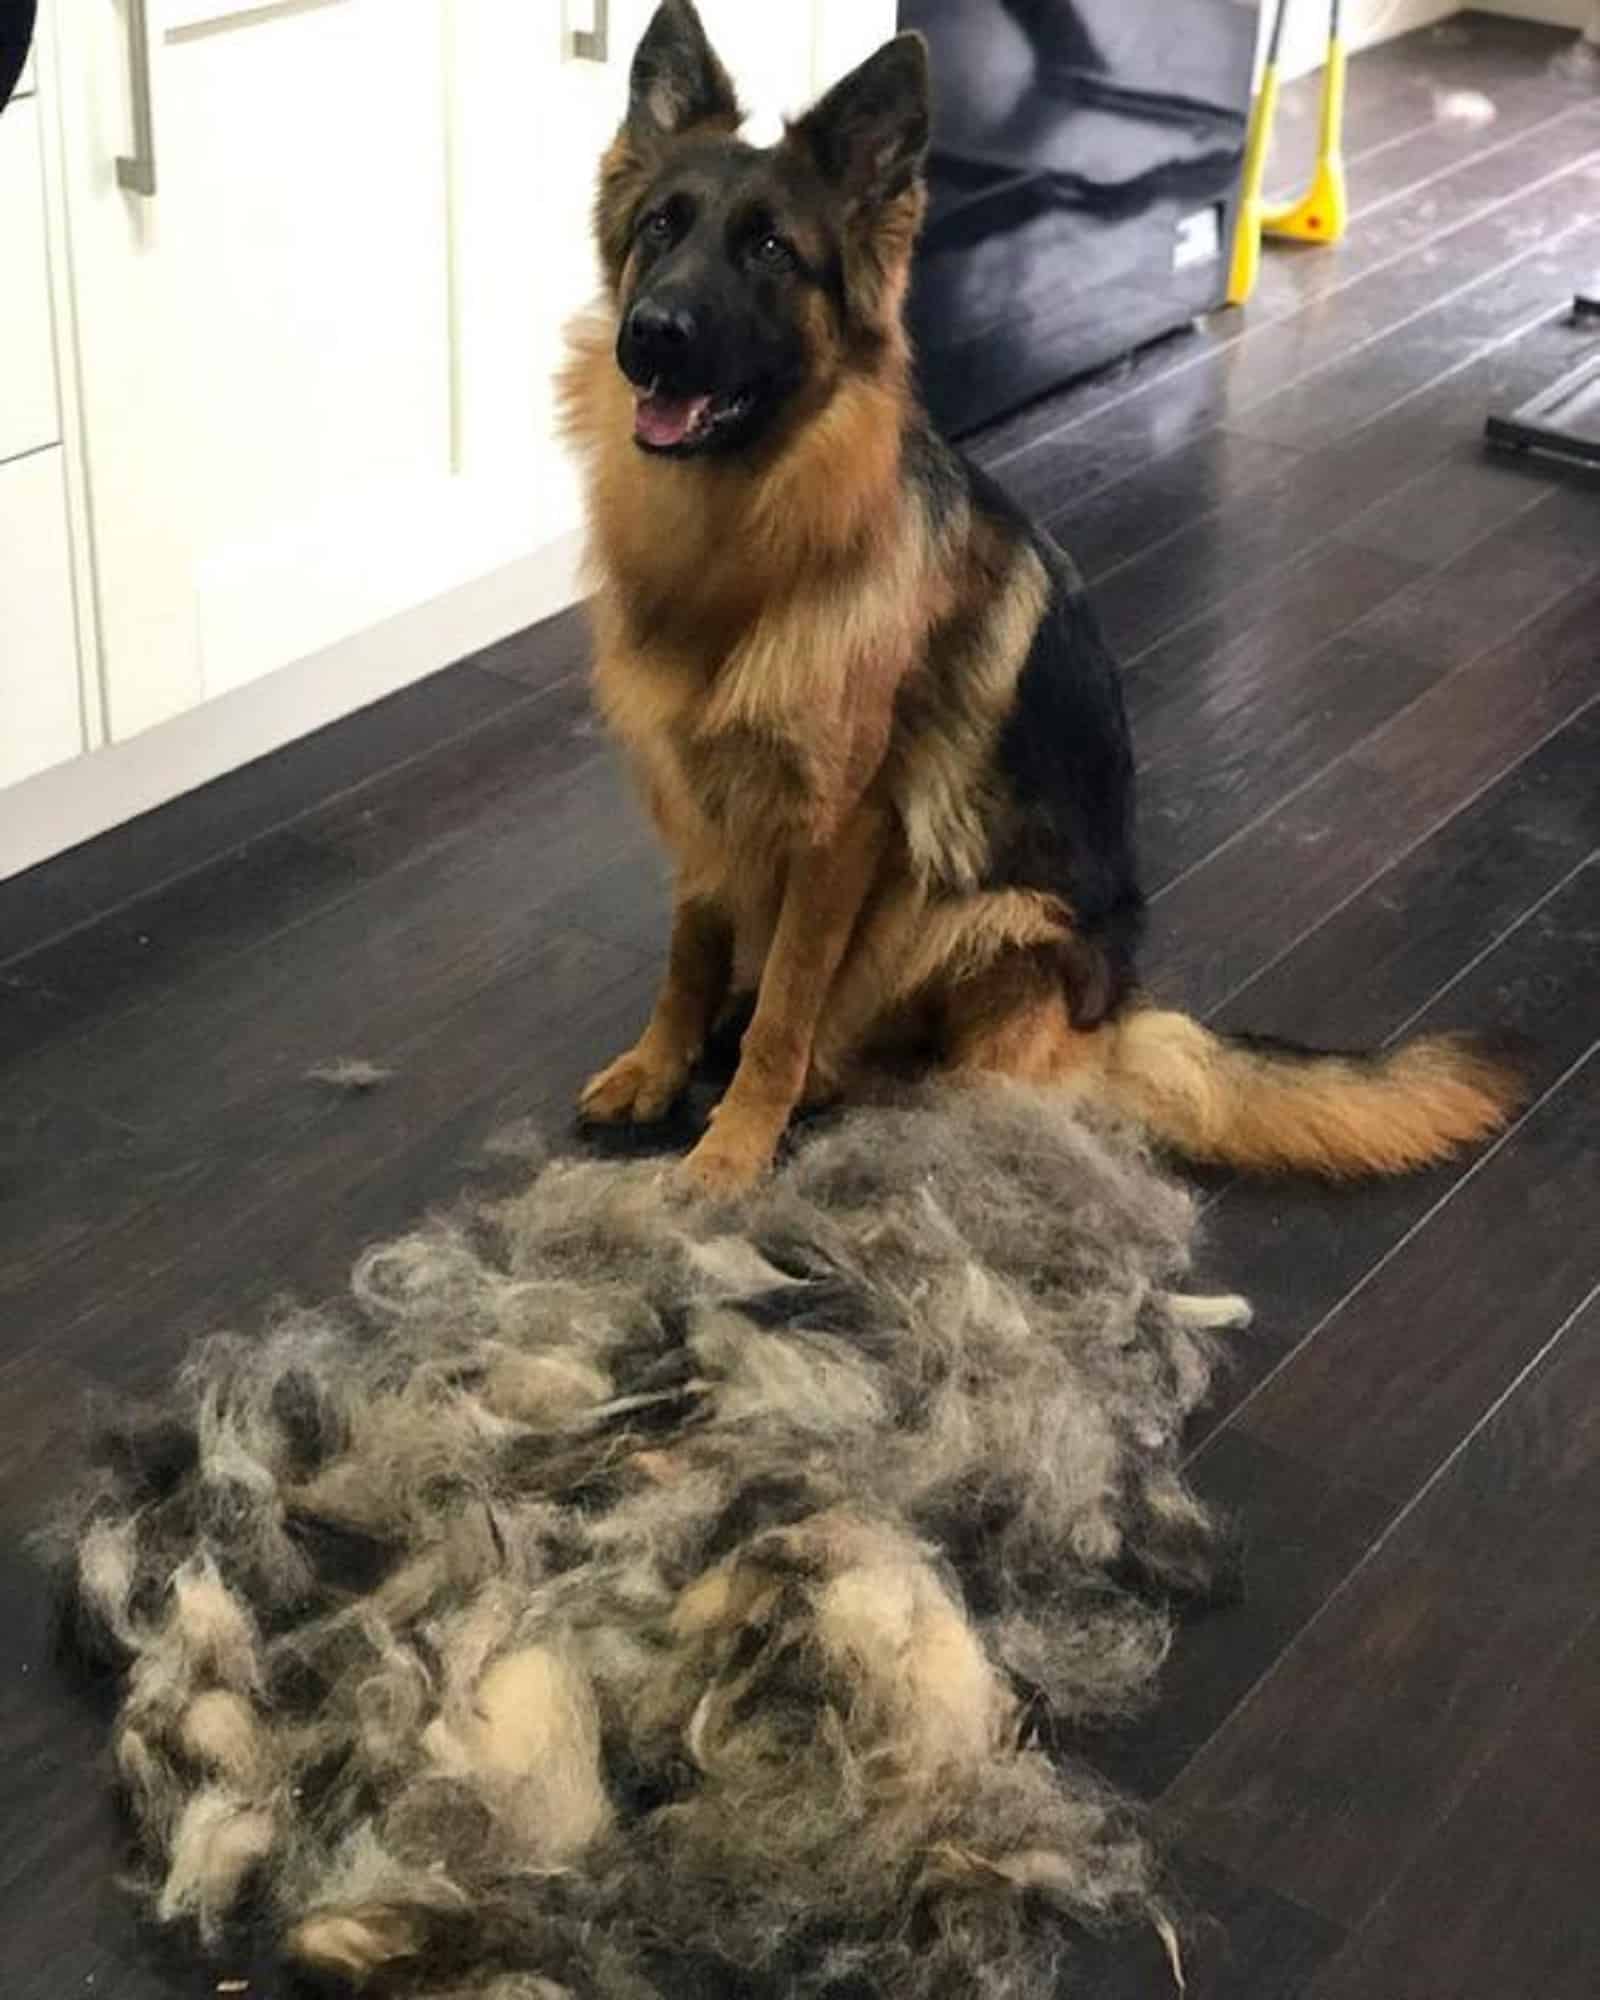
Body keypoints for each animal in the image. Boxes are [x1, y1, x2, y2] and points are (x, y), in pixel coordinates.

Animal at [564, 0, 1528, 1184]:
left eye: (771, 250)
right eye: (660, 228)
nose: (649, 337)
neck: (743, 539)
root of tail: (1121, 1016)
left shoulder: (840, 834)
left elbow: (787, 1004)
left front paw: (732, 1147)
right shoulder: (702, 798)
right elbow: (689, 951)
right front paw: (659, 1064)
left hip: (973, 913)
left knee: (937, 1063)